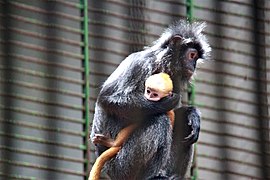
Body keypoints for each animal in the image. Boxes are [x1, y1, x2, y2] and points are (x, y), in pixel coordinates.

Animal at [90, 20, 211, 179]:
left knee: (183, 123)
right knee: (160, 121)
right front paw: (165, 104)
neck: (160, 65)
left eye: (196, 58)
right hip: (121, 166)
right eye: (192, 55)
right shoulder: (140, 65)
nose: (193, 65)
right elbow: (106, 99)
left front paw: (192, 112)